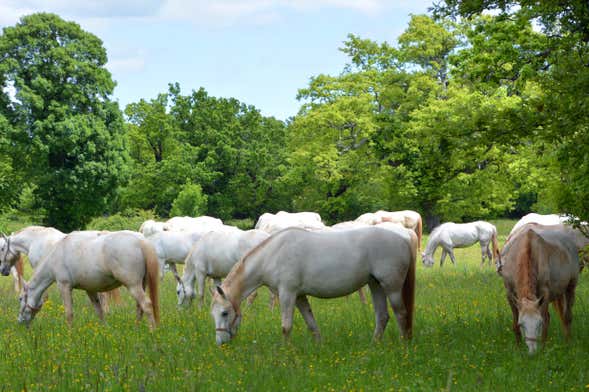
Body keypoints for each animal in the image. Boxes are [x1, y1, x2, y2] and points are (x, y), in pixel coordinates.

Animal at [13, 231, 160, 330]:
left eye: (20, 298)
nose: (20, 321)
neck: (56, 254)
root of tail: (141, 241)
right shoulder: (91, 290)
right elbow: (99, 311)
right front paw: (104, 330)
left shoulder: (64, 286)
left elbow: (69, 313)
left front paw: (69, 333)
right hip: (142, 284)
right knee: (139, 307)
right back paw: (137, 328)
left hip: (133, 285)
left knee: (146, 304)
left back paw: (152, 331)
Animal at [209, 227, 416, 346]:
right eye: (213, 314)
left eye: (225, 313)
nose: (220, 342)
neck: (273, 254)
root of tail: (404, 238)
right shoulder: (300, 296)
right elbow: (311, 324)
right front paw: (319, 348)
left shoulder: (287, 294)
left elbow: (286, 326)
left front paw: (286, 352)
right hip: (375, 285)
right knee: (382, 316)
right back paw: (374, 346)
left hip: (391, 287)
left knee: (401, 314)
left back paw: (403, 346)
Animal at [496, 222, 580, 354]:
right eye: (522, 324)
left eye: (538, 324)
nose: (532, 352)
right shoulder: (510, 294)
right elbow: (514, 322)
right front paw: (518, 347)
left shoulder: (544, 293)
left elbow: (545, 321)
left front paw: (543, 349)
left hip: (570, 287)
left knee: (567, 317)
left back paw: (568, 342)